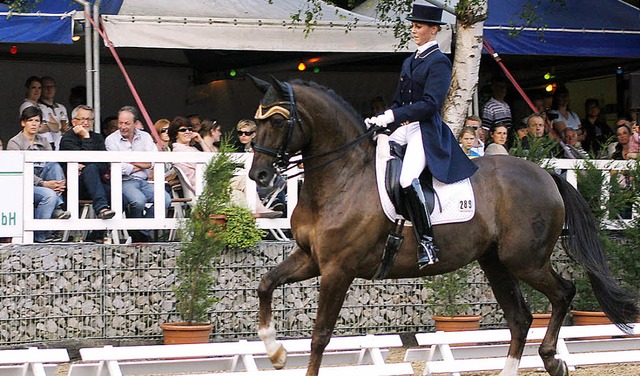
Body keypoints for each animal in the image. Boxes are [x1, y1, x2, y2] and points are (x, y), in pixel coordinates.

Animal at [248, 77, 636, 376]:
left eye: (279, 122)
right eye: (255, 122)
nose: (259, 176)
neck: (341, 177)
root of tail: (546, 174)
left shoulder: (337, 268)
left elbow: (321, 335)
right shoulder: (311, 258)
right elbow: (266, 284)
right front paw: (275, 353)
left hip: (525, 260)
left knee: (563, 293)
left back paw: (552, 360)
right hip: (495, 262)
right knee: (520, 318)